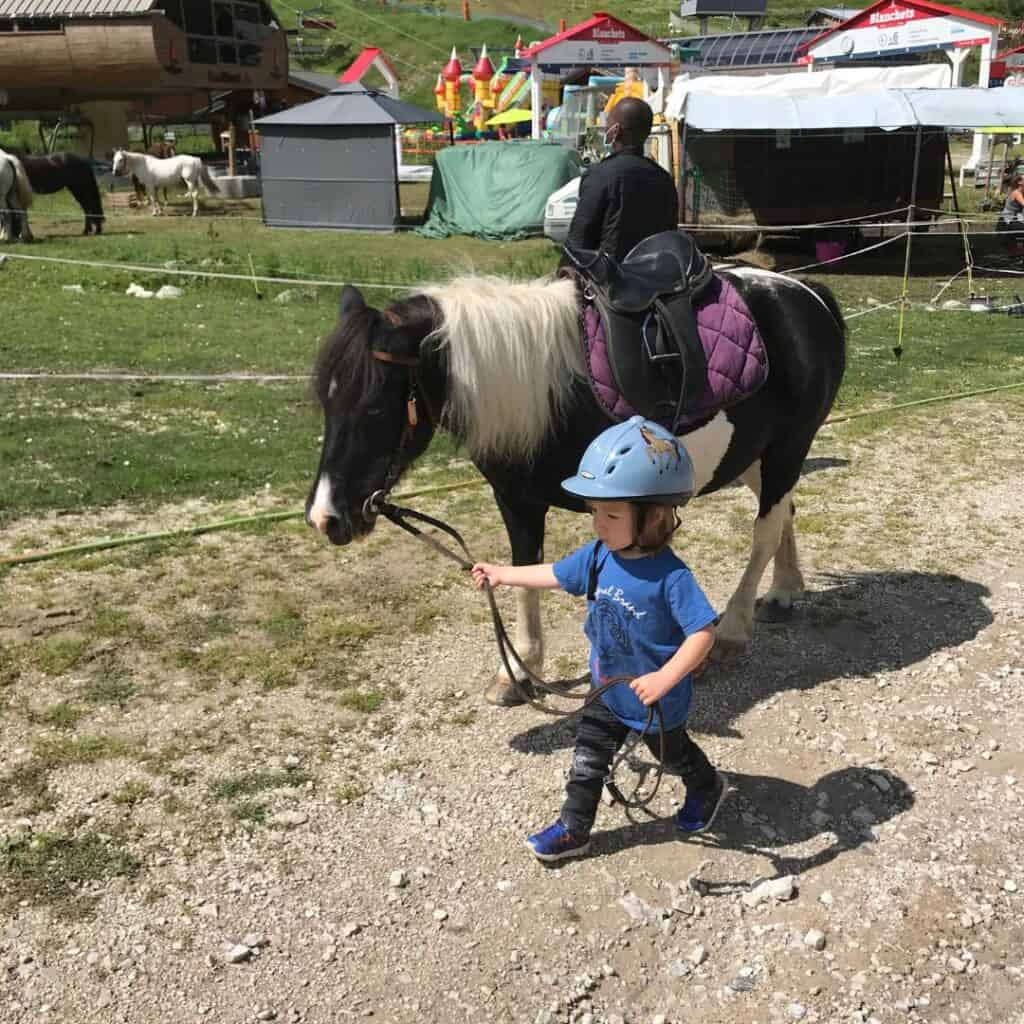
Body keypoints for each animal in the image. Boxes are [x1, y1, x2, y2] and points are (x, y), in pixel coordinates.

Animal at [306, 268, 846, 706]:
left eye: (375, 405)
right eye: (324, 402)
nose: (325, 517)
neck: (541, 391)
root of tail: (806, 292)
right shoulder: (516, 501)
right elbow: (523, 571)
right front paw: (519, 673)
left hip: (789, 447)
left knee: (764, 530)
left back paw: (733, 630)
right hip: (756, 455)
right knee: (783, 514)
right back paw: (783, 591)